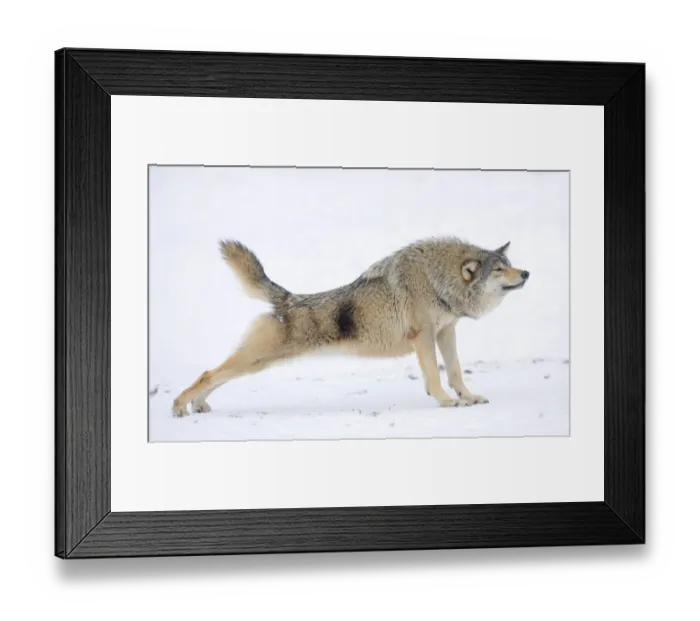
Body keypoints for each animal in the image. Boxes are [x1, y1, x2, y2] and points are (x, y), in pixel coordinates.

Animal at [172, 237, 530, 416]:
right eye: (500, 270)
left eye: (510, 265)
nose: (526, 273)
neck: (436, 280)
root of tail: (288, 299)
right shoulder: (423, 336)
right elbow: (435, 375)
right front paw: (445, 401)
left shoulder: (446, 331)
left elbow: (455, 371)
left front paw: (468, 397)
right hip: (256, 360)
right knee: (208, 374)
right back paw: (179, 407)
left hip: (254, 362)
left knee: (215, 376)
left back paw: (199, 405)